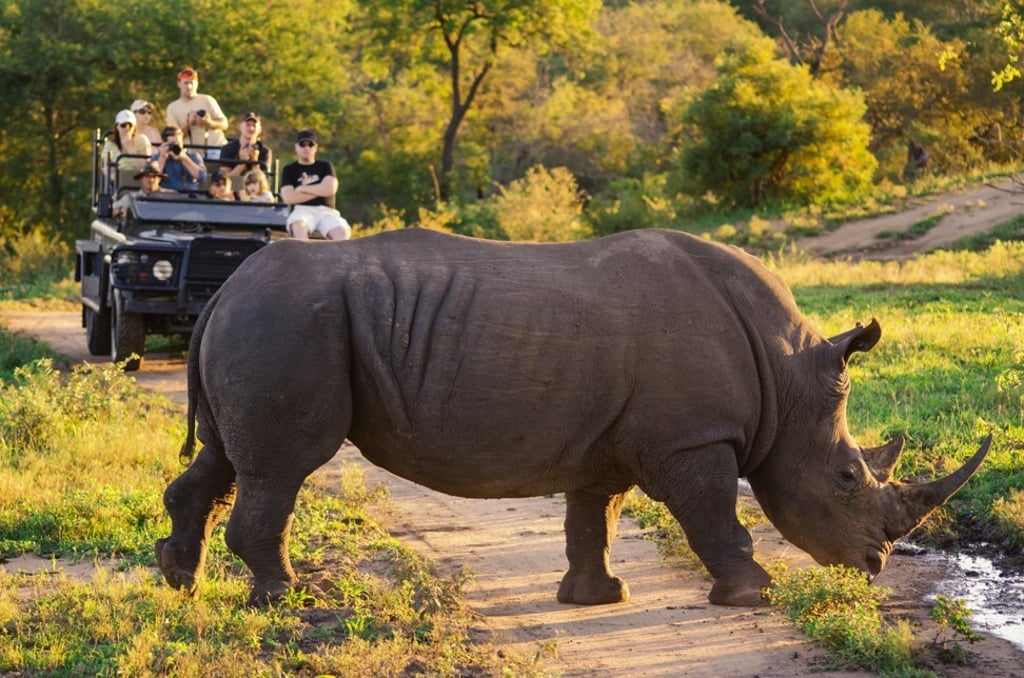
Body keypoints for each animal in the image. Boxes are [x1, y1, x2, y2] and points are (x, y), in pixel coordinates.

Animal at [155, 228, 990, 607]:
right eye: (848, 477)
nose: (874, 565)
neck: (786, 380)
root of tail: (224, 290)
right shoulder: (691, 438)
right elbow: (715, 515)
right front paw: (753, 592)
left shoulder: (612, 441)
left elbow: (595, 516)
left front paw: (596, 597)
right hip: (289, 321)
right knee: (280, 467)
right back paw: (289, 598)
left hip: (268, 320)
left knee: (224, 460)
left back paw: (180, 581)